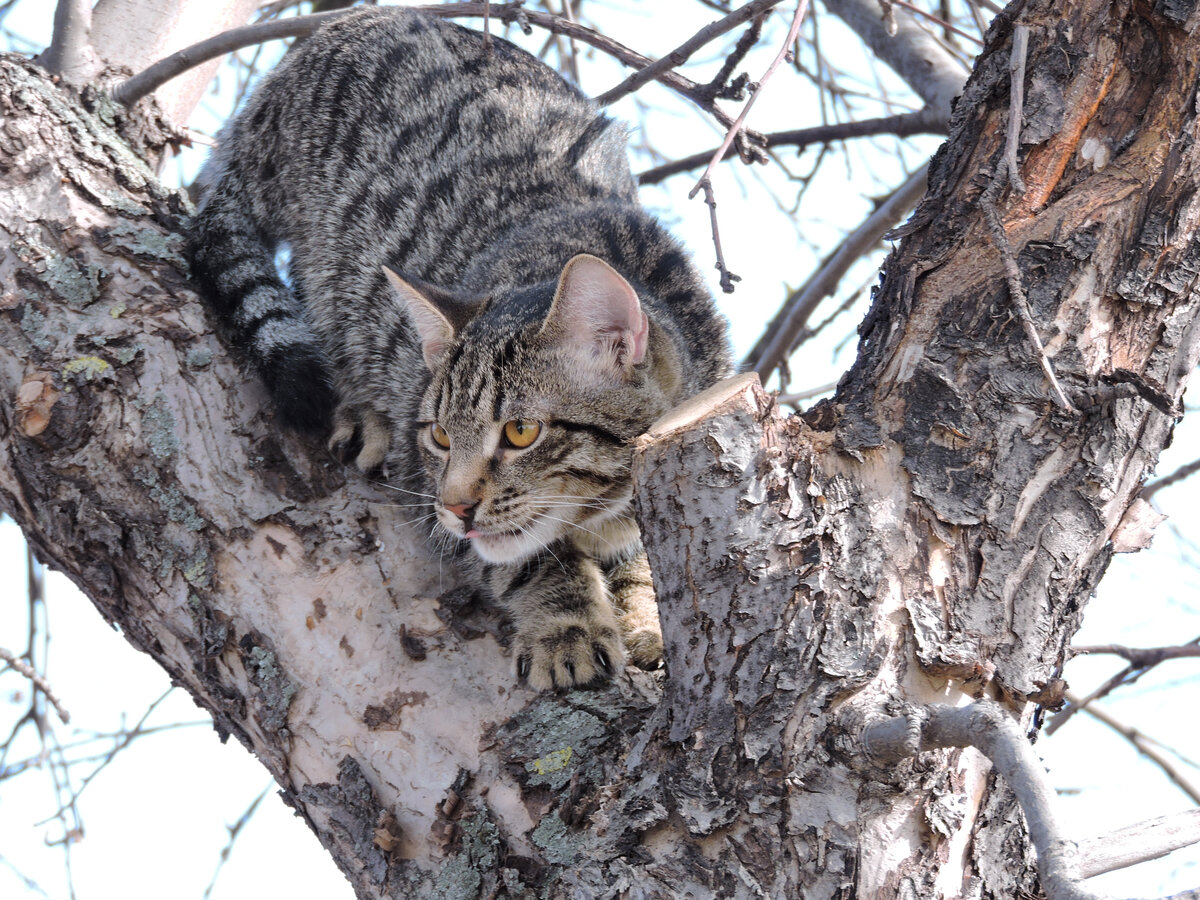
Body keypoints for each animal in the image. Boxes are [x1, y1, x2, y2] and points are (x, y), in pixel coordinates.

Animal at [187, 7, 729, 691]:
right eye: (441, 436)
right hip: (332, 266)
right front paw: (568, 626)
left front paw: (643, 615)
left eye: (521, 432)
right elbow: (530, 560)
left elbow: (641, 560)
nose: (456, 506)